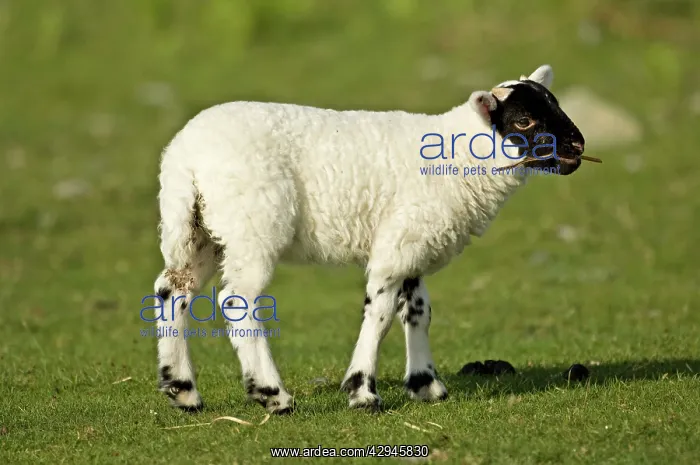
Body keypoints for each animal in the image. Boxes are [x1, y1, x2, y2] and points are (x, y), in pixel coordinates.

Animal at [152, 64, 586, 414]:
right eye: (525, 120)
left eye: (555, 104)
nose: (578, 146)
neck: (460, 158)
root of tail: (184, 157)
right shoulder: (397, 249)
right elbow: (380, 315)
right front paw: (362, 392)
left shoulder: (412, 240)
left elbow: (418, 311)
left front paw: (426, 385)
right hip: (253, 223)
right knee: (236, 301)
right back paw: (272, 394)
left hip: (200, 230)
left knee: (173, 290)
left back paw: (183, 391)